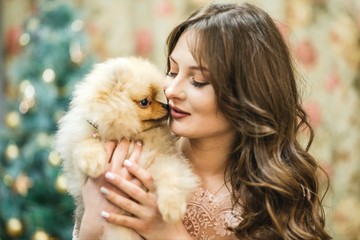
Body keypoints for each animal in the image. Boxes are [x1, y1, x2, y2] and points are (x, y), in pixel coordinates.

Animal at [55, 57, 200, 239]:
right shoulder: (78, 168)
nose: (167, 106)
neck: (132, 136)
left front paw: (172, 208)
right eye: (145, 102)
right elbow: (85, 143)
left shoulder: (163, 159)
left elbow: (171, 176)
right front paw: (94, 163)